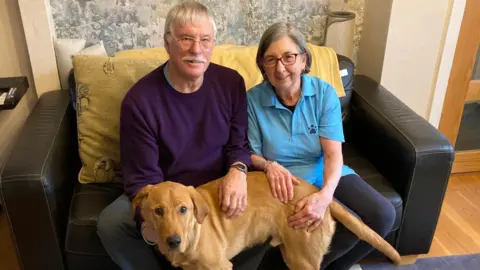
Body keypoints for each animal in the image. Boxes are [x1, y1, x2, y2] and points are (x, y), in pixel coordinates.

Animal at [133, 172, 404, 268]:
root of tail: (316, 193)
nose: (173, 241)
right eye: (158, 211)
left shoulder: (221, 267)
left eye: (183, 209)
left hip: (302, 259)